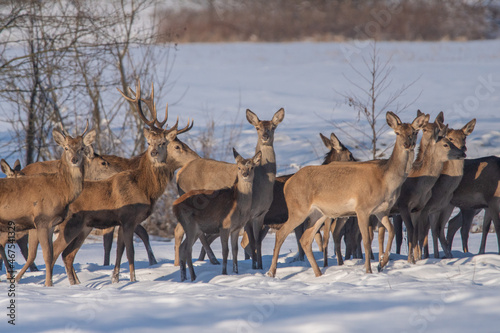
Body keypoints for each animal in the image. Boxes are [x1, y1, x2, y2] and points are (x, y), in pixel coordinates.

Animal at [0, 123, 94, 284]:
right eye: (66, 147)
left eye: (82, 147)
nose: (74, 159)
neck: (60, 190)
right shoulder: (42, 220)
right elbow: (47, 255)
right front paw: (48, 284)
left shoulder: (50, 224)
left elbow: (47, 254)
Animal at [174, 148, 262, 280]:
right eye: (239, 167)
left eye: (251, 167)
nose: (245, 174)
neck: (238, 205)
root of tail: (174, 205)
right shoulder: (224, 226)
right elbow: (225, 250)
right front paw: (224, 273)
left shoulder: (236, 228)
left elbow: (235, 250)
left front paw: (236, 272)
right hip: (189, 224)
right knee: (187, 249)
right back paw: (193, 277)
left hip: (195, 228)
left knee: (182, 248)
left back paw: (184, 277)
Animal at [176, 107, 286, 268]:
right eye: (257, 127)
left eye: (273, 127)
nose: (265, 136)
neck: (262, 184)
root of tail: (179, 174)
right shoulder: (248, 214)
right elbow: (251, 242)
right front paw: (254, 266)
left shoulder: (261, 214)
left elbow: (258, 242)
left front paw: (260, 266)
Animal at [268, 112, 428, 278]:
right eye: (397, 133)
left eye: (414, 132)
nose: (407, 144)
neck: (385, 179)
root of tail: (288, 184)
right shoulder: (362, 208)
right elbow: (366, 241)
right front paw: (368, 270)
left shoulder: (382, 210)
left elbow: (391, 232)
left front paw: (382, 264)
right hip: (298, 209)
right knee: (281, 234)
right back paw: (271, 272)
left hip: (319, 213)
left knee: (305, 239)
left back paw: (319, 273)